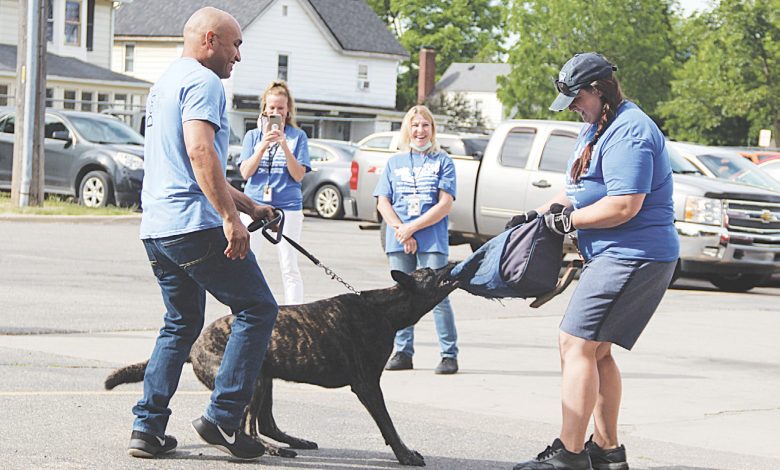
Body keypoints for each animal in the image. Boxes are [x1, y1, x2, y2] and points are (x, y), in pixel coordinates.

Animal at [103, 264, 470, 466]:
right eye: (431, 273)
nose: (452, 264)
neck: (385, 308)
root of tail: (194, 347)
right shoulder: (367, 386)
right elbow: (389, 426)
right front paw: (405, 456)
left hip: (264, 378)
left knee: (264, 423)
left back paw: (291, 442)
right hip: (251, 381)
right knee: (247, 427)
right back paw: (268, 450)